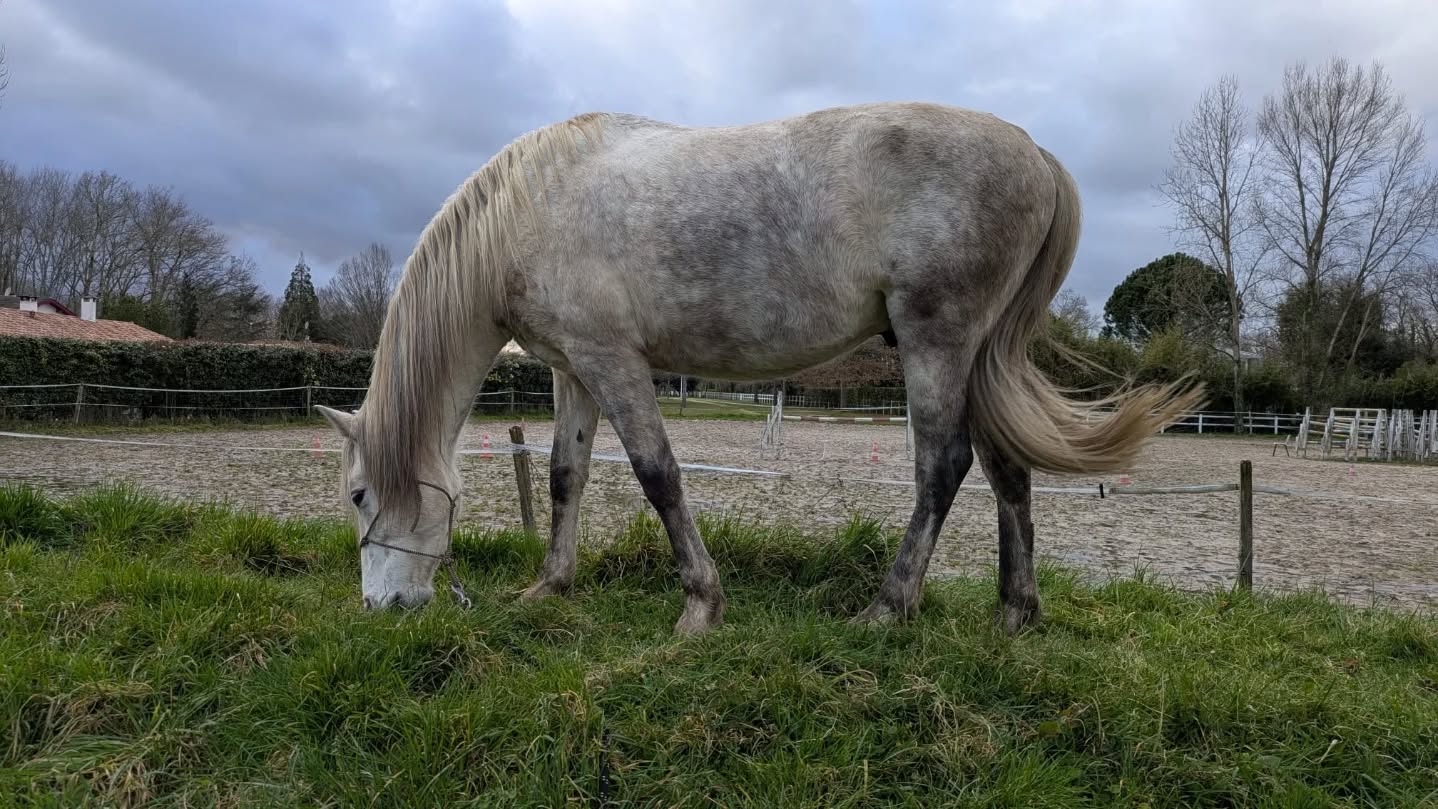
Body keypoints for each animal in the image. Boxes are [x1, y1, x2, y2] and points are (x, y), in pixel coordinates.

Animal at [315, 101, 1203, 635]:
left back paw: (888, 607)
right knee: (1007, 471)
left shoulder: (614, 360)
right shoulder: (575, 369)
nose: (384, 605)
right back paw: (1015, 615)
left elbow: (658, 474)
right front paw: (549, 587)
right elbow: (568, 475)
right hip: (979, 356)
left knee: (943, 467)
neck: (528, 208)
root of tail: (1036, 154)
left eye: (358, 494)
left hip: (937, 343)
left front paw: (700, 606)